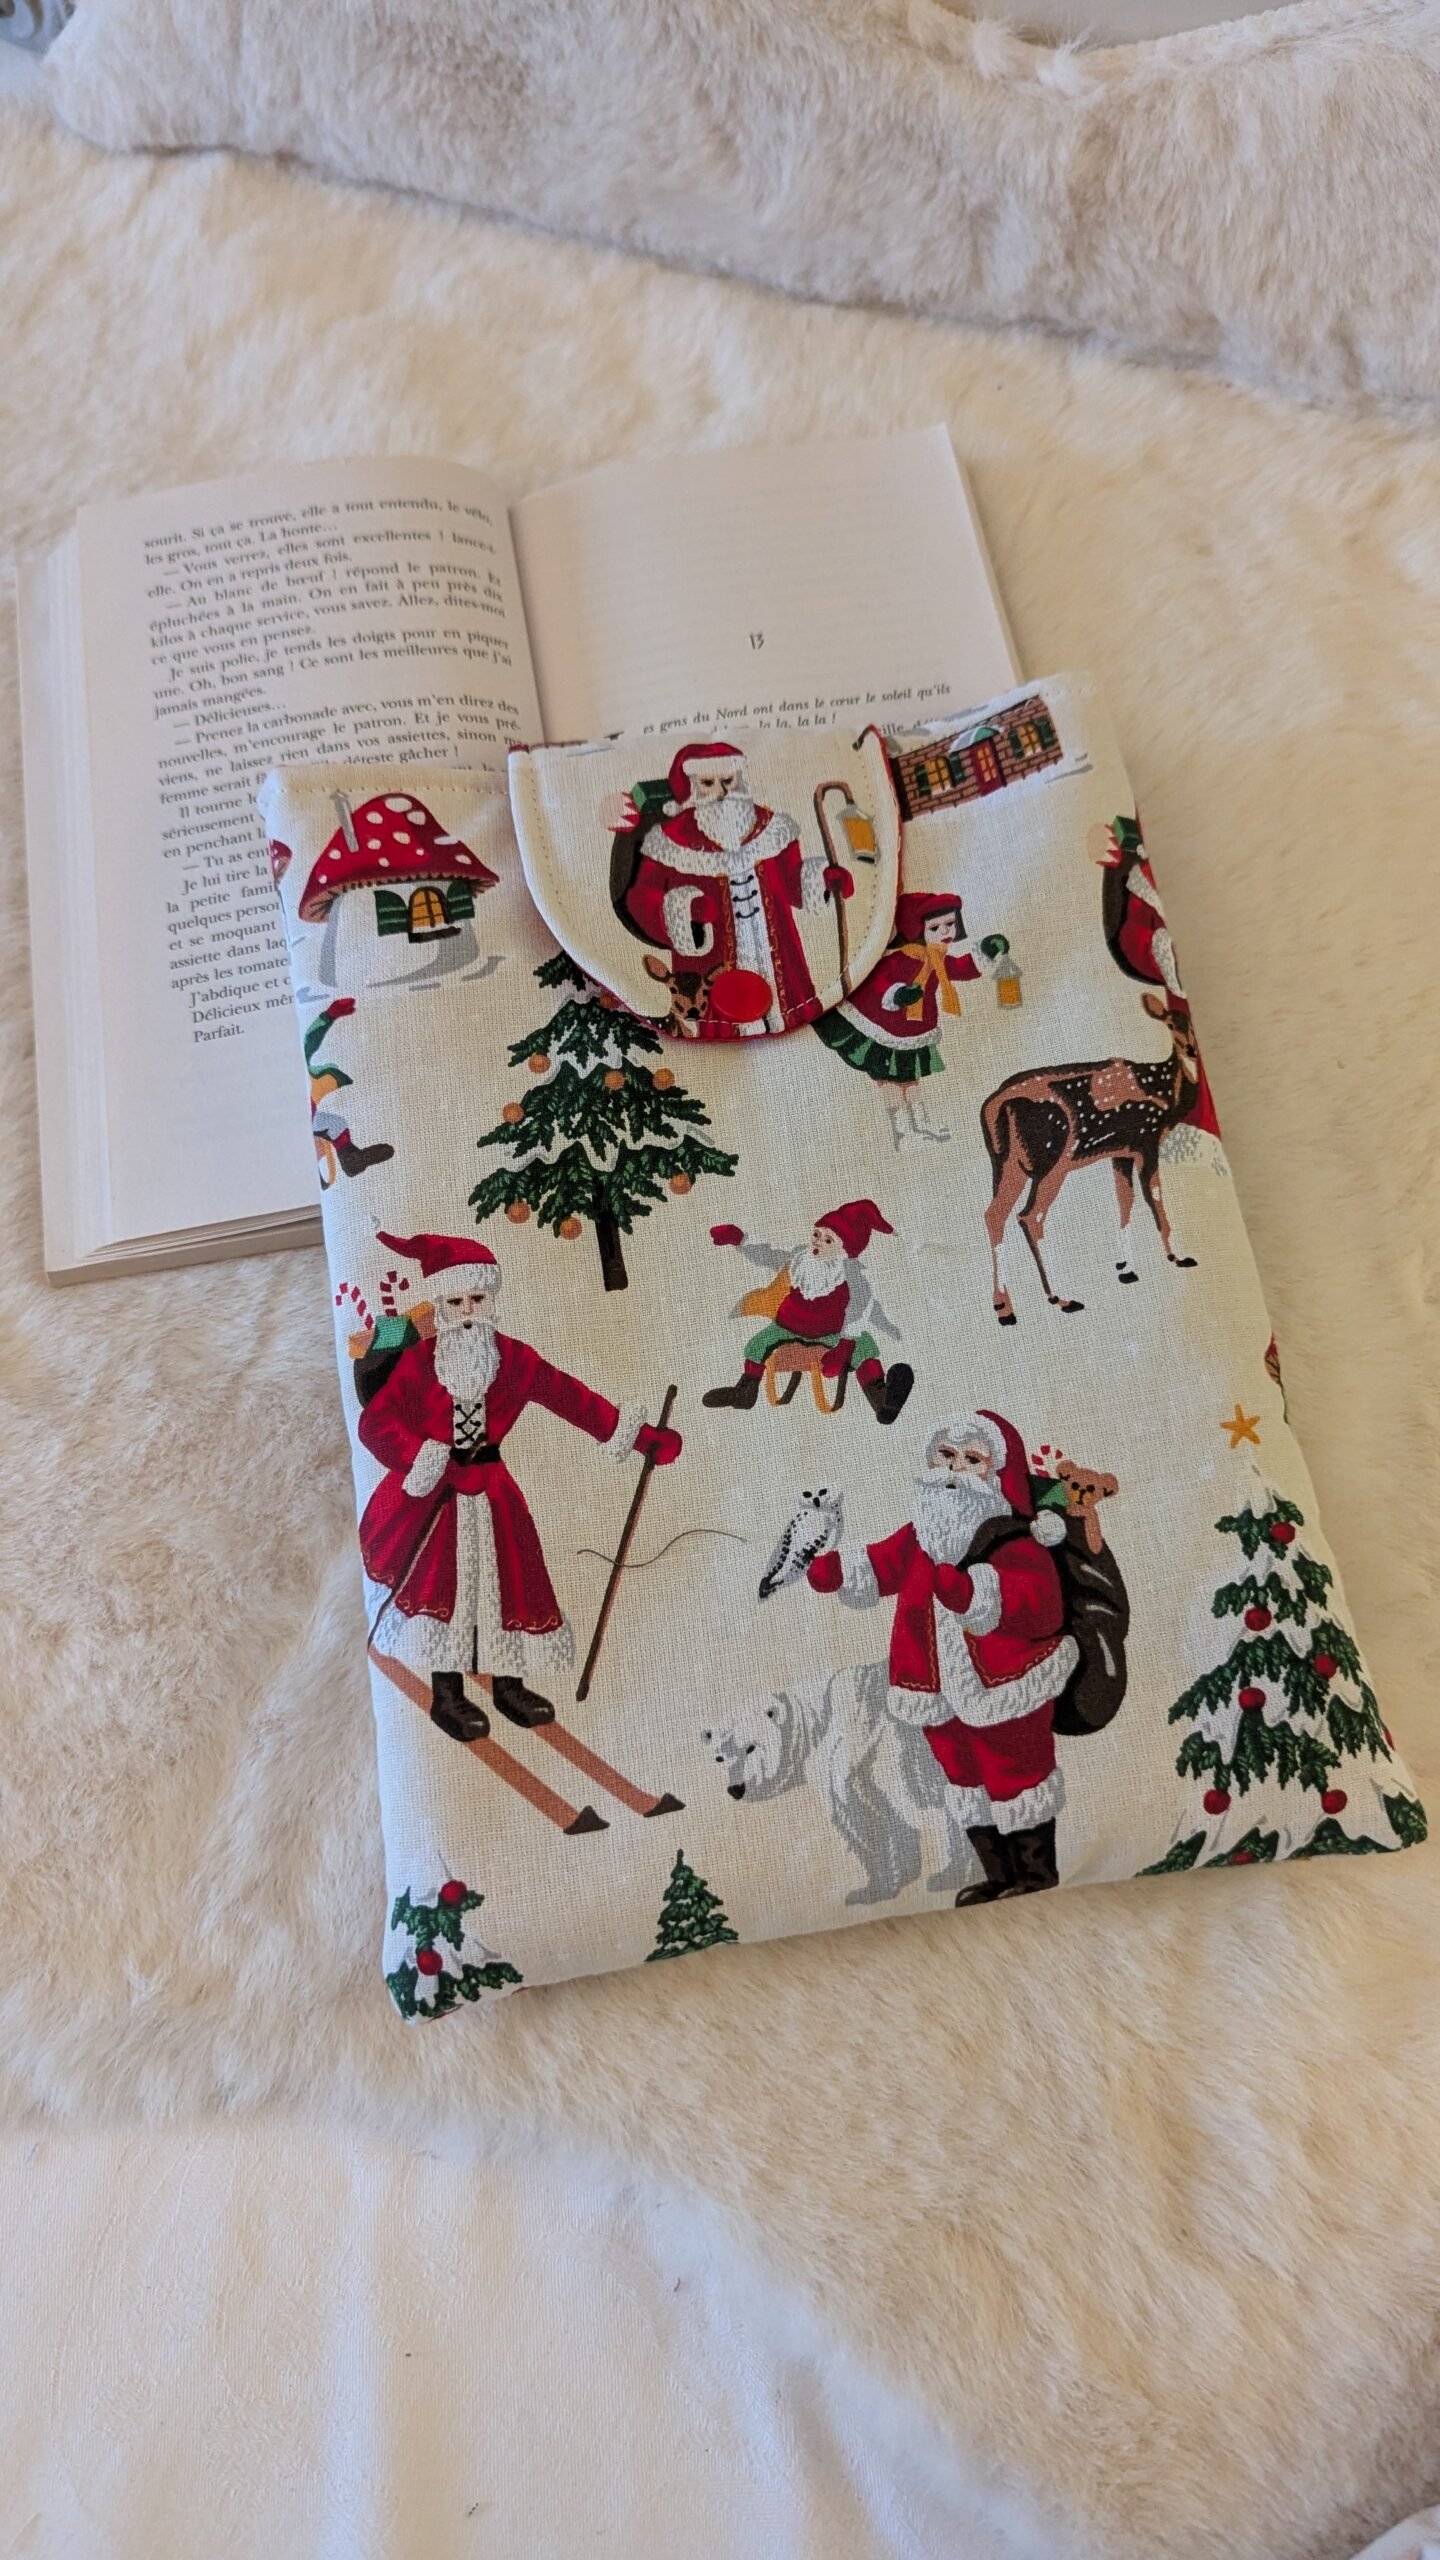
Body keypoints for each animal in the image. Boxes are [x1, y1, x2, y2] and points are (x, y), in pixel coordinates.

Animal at [980, 992, 1201, 1325]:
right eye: (1171, 1024)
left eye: (1192, 1025)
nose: (1192, 1049)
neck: (1168, 1095)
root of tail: (992, 1107)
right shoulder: (1147, 1141)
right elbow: (1155, 1199)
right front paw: (1178, 1256)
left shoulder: (1121, 1152)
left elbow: (1125, 1201)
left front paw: (1126, 1267)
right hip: (1054, 1159)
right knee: (1030, 1216)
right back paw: (1061, 1297)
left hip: (1006, 1164)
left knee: (994, 1214)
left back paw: (1004, 1307)